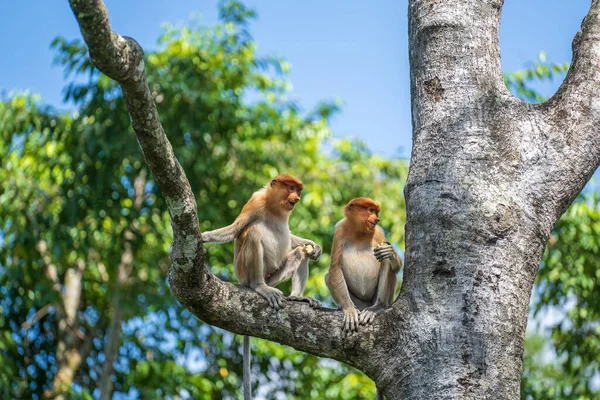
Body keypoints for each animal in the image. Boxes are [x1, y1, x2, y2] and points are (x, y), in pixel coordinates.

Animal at [202, 174, 324, 400]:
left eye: (298, 190)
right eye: (291, 187)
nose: (296, 198)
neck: (273, 205)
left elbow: (293, 239)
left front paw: (314, 246)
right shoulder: (255, 202)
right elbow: (236, 228)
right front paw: (203, 236)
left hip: (275, 275)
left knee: (299, 254)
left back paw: (297, 296)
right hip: (245, 271)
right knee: (252, 233)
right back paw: (259, 287)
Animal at [324, 196, 404, 332]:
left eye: (376, 212)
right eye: (371, 210)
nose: (377, 219)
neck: (359, 231)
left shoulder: (378, 231)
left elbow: (394, 265)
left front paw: (389, 252)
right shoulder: (340, 229)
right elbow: (335, 267)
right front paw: (349, 310)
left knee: (386, 263)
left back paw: (377, 307)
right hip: (359, 302)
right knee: (328, 276)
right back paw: (342, 306)